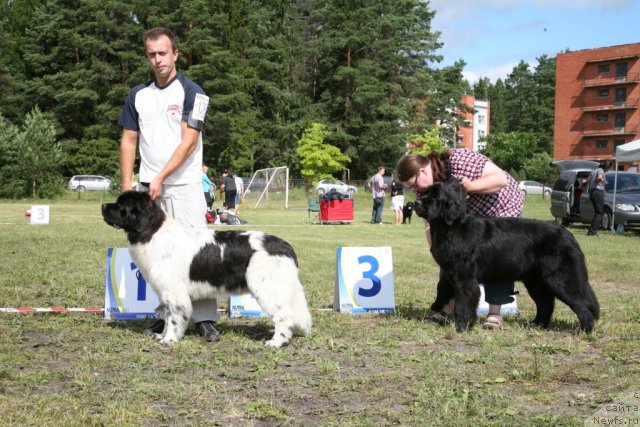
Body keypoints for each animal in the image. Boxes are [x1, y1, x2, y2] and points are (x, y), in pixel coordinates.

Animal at [102, 192, 312, 350]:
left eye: (121, 205)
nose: (103, 205)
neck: (153, 232)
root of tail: (285, 246)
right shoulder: (167, 292)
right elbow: (168, 315)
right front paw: (162, 335)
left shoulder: (174, 292)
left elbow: (174, 318)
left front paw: (169, 339)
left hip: (267, 289)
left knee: (283, 315)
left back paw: (276, 342)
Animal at [416, 181, 600, 334]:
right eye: (424, 193)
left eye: (435, 197)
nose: (416, 202)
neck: (450, 228)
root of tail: (569, 235)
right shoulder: (449, 270)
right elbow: (442, 287)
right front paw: (438, 306)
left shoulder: (464, 276)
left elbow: (463, 302)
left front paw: (461, 326)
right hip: (536, 282)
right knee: (546, 303)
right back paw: (537, 324)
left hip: (560, 279)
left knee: (581, 304)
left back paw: (585, 330)